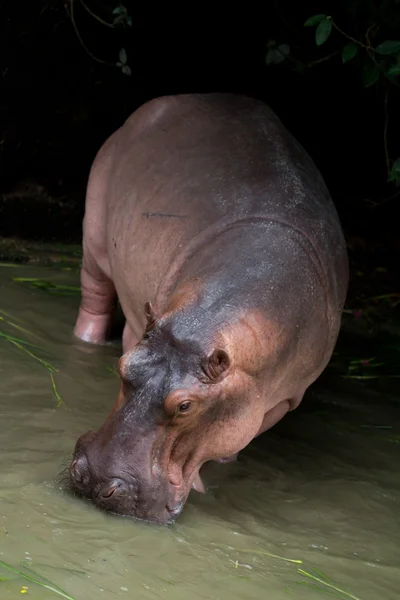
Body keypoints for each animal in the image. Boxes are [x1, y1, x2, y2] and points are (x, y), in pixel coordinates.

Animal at [69, 91, 346, 524]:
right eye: (123, 367)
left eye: (186, 405)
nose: (95, 481)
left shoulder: (279, 400)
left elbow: (229, 440)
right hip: (95, 238)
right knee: (94, 297)